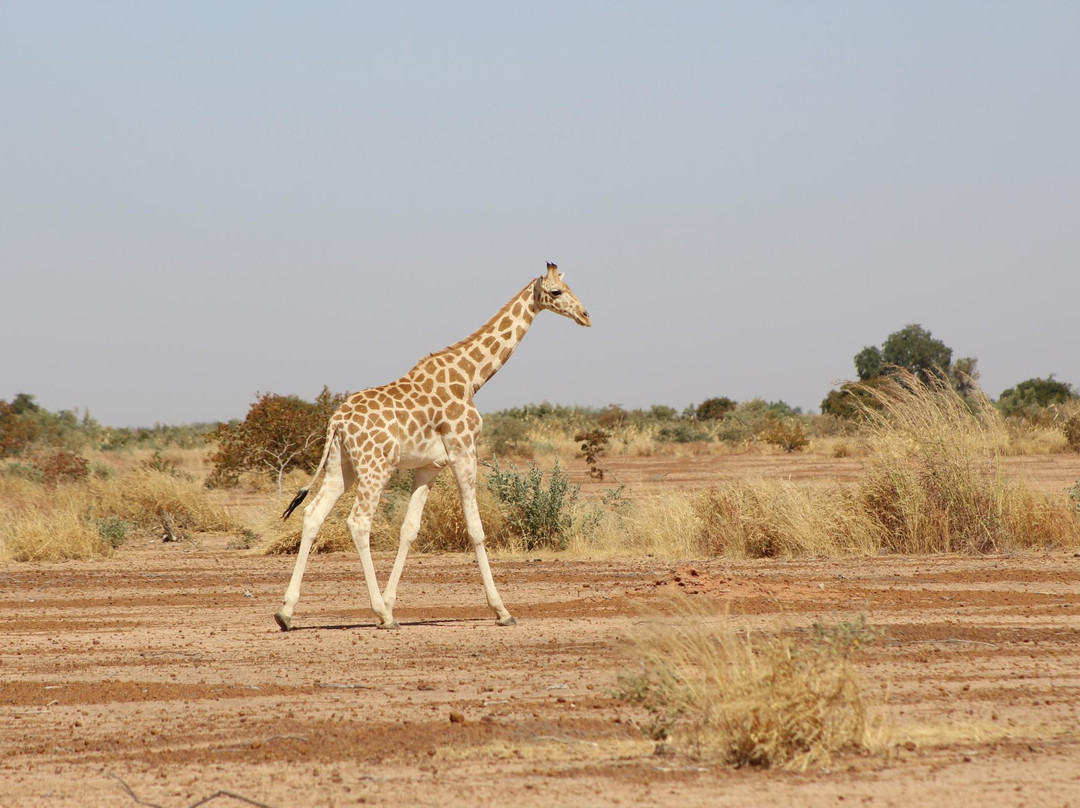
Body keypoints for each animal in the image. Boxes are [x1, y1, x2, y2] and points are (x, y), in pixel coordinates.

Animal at [274, 262, 590, 631]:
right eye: (556, 291)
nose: (585, 316)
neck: (470, 377)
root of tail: (336, 421)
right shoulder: (464, 450)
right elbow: (476, 529)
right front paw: (501, 610)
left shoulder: (428, 466)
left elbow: (409, 529)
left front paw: (392, 602)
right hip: (375, 466)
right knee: (359, 522)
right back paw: (381, 616)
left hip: (343, 467)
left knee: (313, 515)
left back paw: (286, 612)